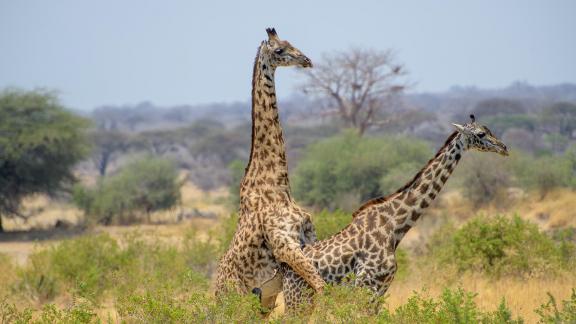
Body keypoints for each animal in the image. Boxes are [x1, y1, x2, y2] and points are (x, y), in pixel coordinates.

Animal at [216, 27, 326, 302]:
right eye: (279, 50)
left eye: (292, 43)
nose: (306, 60)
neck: (280, 186)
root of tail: (214, 288)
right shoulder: (286, 245)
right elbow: (322, 288)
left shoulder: (308, 238)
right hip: (236, 298)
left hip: (262, 299)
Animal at [280, 115, 508, 310]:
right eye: (481, 134)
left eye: (489, 130)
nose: (504, 147)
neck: (394, 226)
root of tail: (285, 267)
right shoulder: (367, 287)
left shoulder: (380, 290)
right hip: (297, 298)